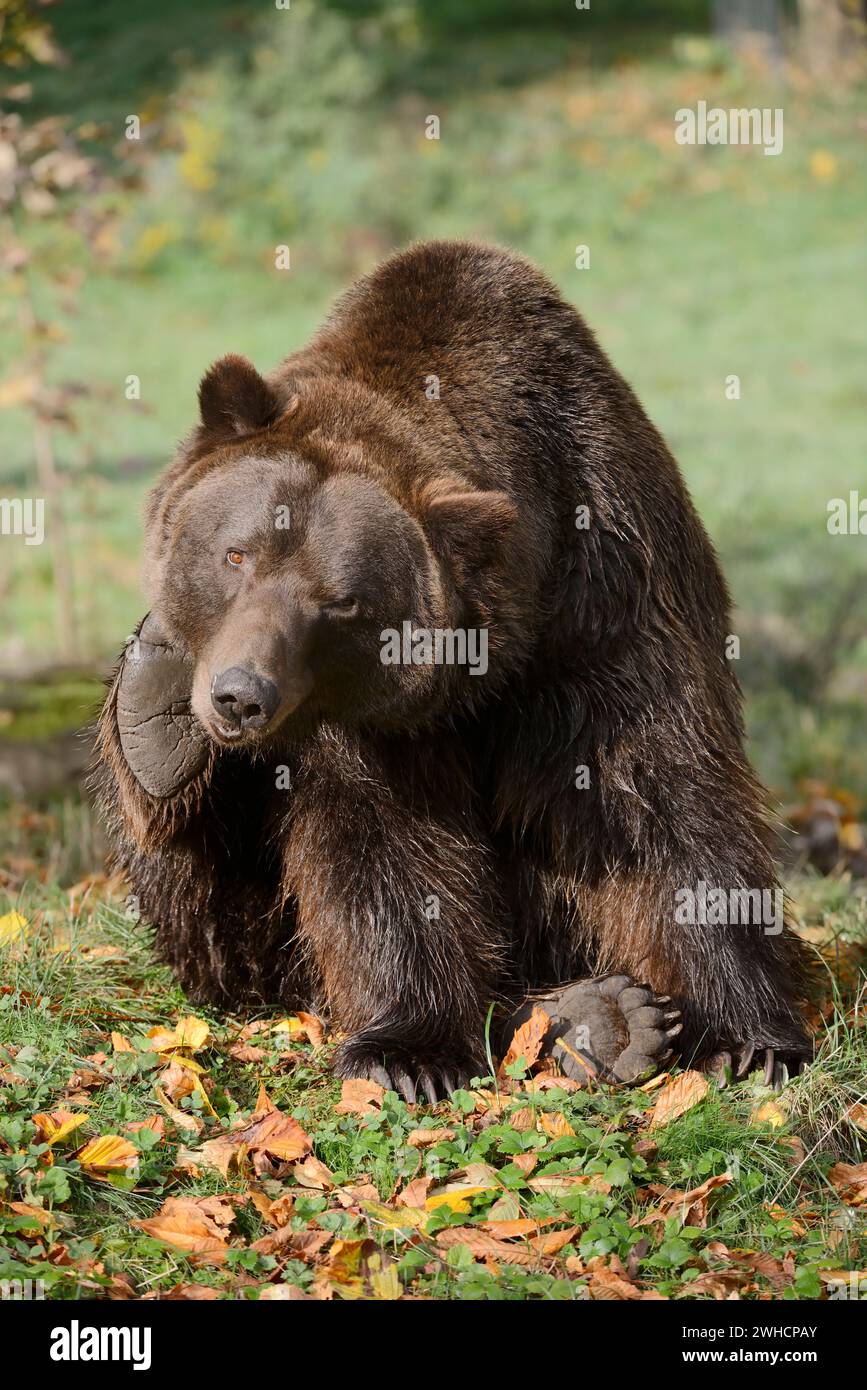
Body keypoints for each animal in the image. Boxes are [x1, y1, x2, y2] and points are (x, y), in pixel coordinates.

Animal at [93, 239, 811, 1100]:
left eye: (341, 602)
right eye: (237, 553)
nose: (241, 696)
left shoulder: (608, 600)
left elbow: (659, 796)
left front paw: (744, 1036)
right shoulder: (361, 725)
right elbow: (386, 850)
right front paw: (411, 1052)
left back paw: (607, 1018)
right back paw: (155, 714)